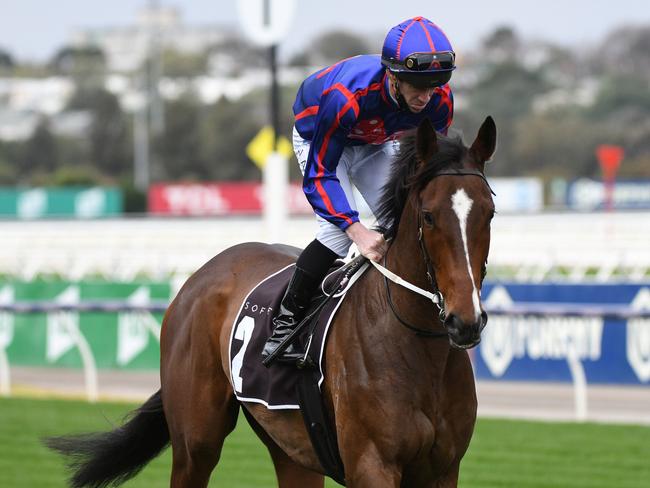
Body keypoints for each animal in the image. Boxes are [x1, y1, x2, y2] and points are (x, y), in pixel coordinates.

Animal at [46, 115, 496, 488]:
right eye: (429, 215)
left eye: (489, 212)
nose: (464, 321)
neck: (415, 349)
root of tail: (199, 278)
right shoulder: (372, 465)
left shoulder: (442, 470)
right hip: (196, 441)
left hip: (291, 447)